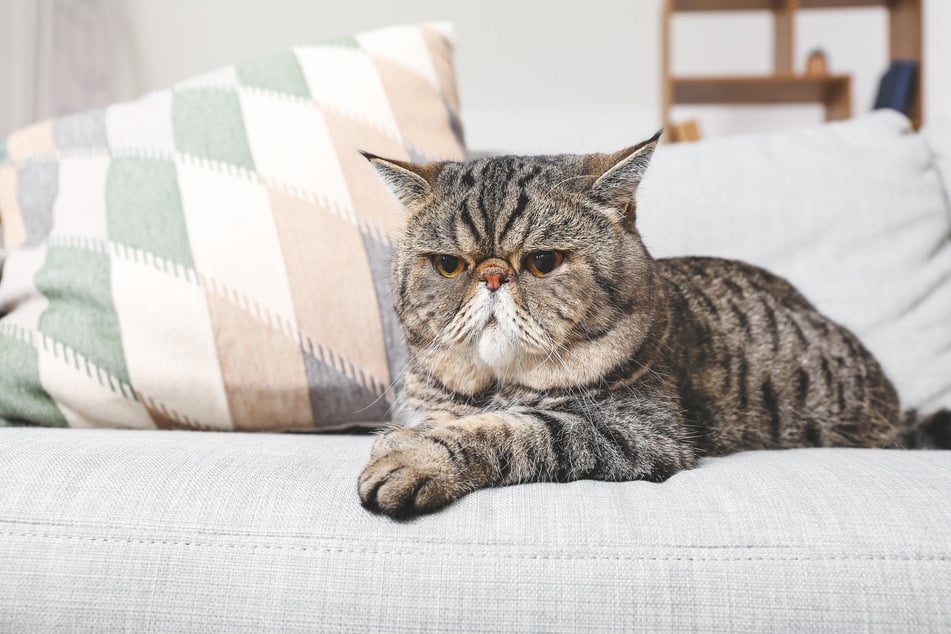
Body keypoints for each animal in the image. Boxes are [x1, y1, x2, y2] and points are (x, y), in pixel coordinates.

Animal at [358, 135, 951, 520]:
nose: (493, 275)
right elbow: (445, 418)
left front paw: (413, 455)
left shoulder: (640, 433)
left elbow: (515, 430)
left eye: (544, 262)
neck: (493, 386)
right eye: (449, 266)